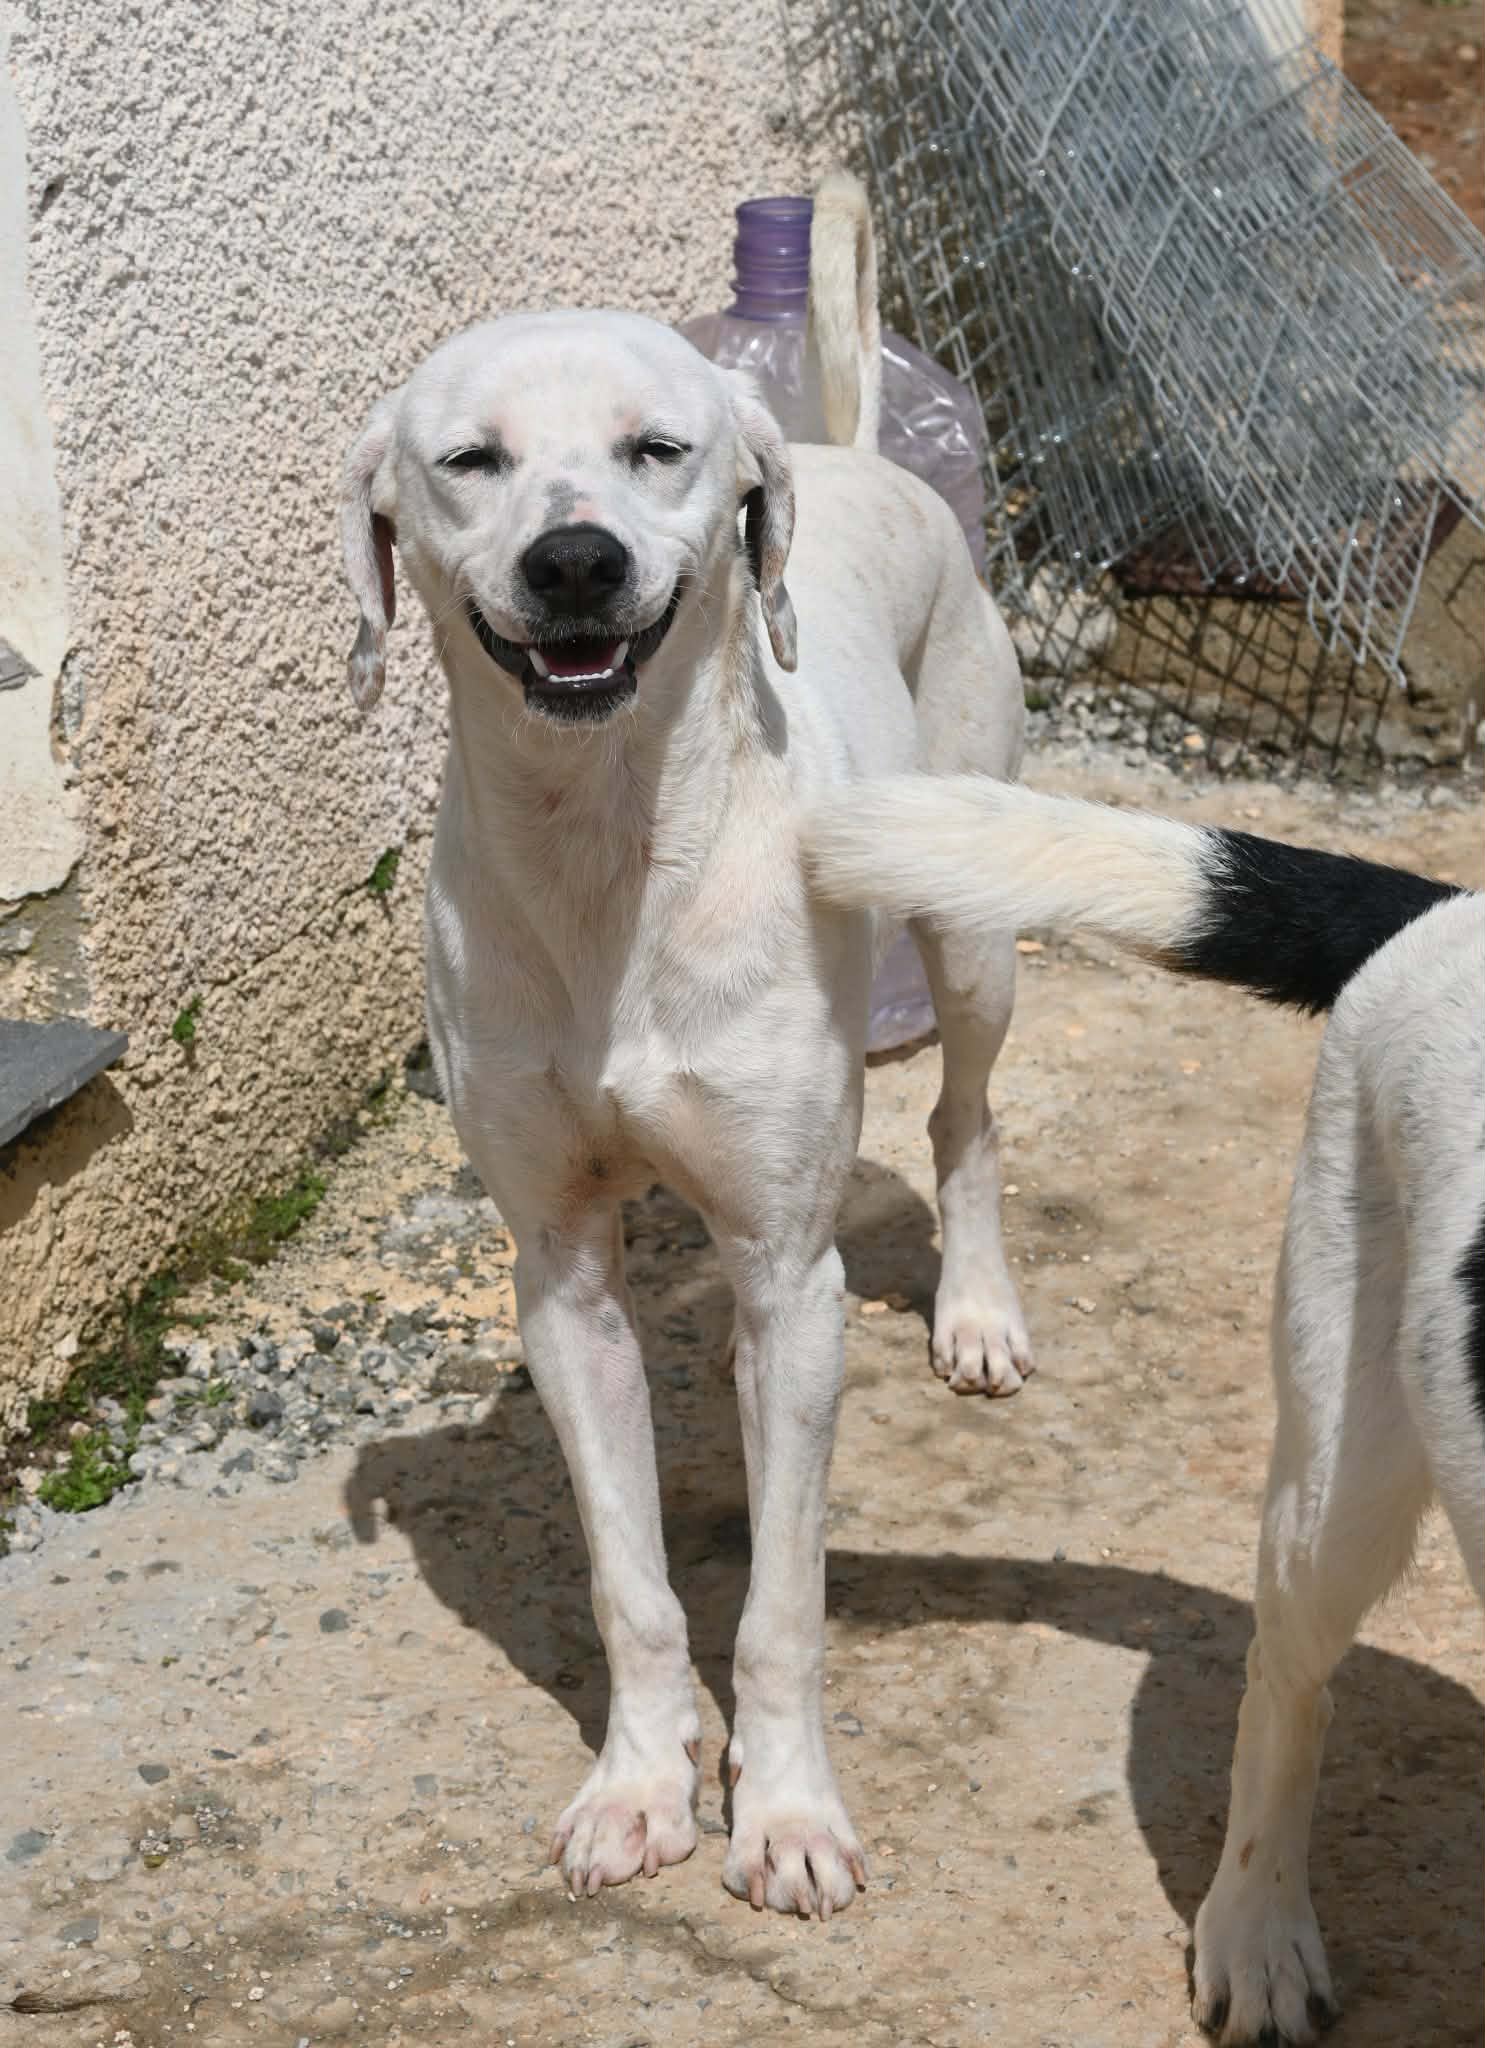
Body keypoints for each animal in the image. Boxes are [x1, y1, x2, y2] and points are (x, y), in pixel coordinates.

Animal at [338, 173, 1031, 1918]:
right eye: (471, 461)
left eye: (657, 449)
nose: (575, 562)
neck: (611, 850)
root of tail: (854, 453)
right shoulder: (560, 1275)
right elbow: (632, 1584)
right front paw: (641, 1784)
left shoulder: (789, 1278)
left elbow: (781, 1605)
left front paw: (784, 1815)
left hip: (975, 929)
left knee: (968, 1122)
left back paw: (980, 1312)